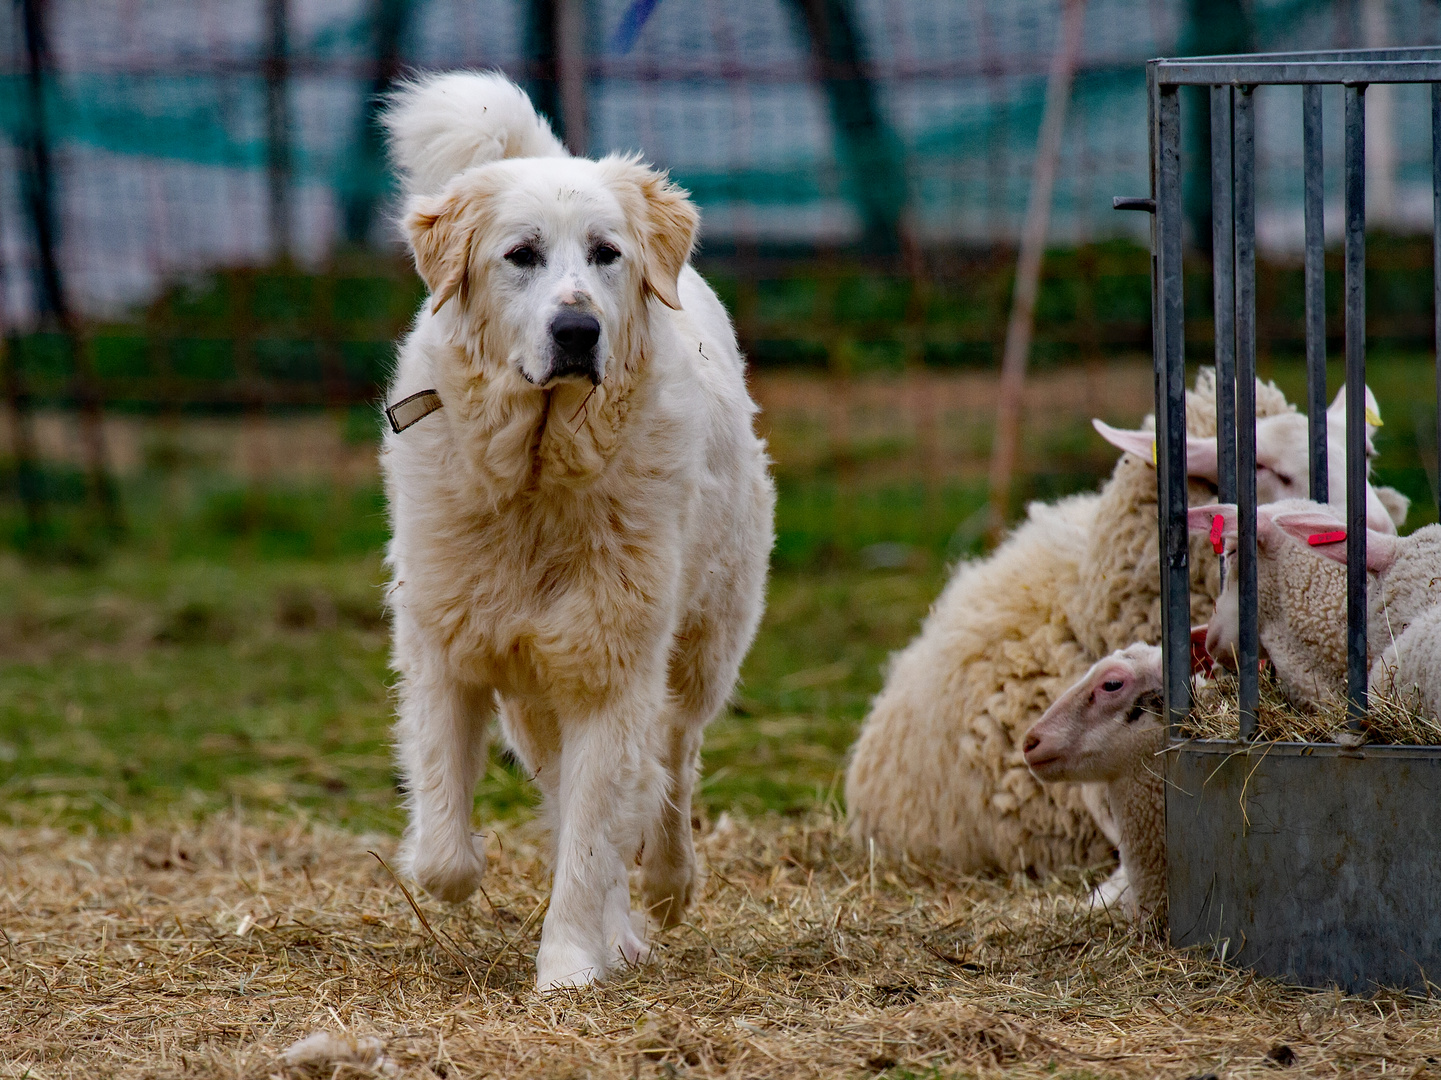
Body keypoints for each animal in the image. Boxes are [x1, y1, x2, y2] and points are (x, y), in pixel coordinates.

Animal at [377, 71, 772, 992]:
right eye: (521, 255)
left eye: (605, 254)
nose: (577, 330)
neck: (533, 479)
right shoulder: (446, 650)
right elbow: (447, 847)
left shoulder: (610, 667)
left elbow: (597, 835)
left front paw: (565, 968)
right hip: (532, 693)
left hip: (701, 647)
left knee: (672, 766)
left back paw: (664, 887)